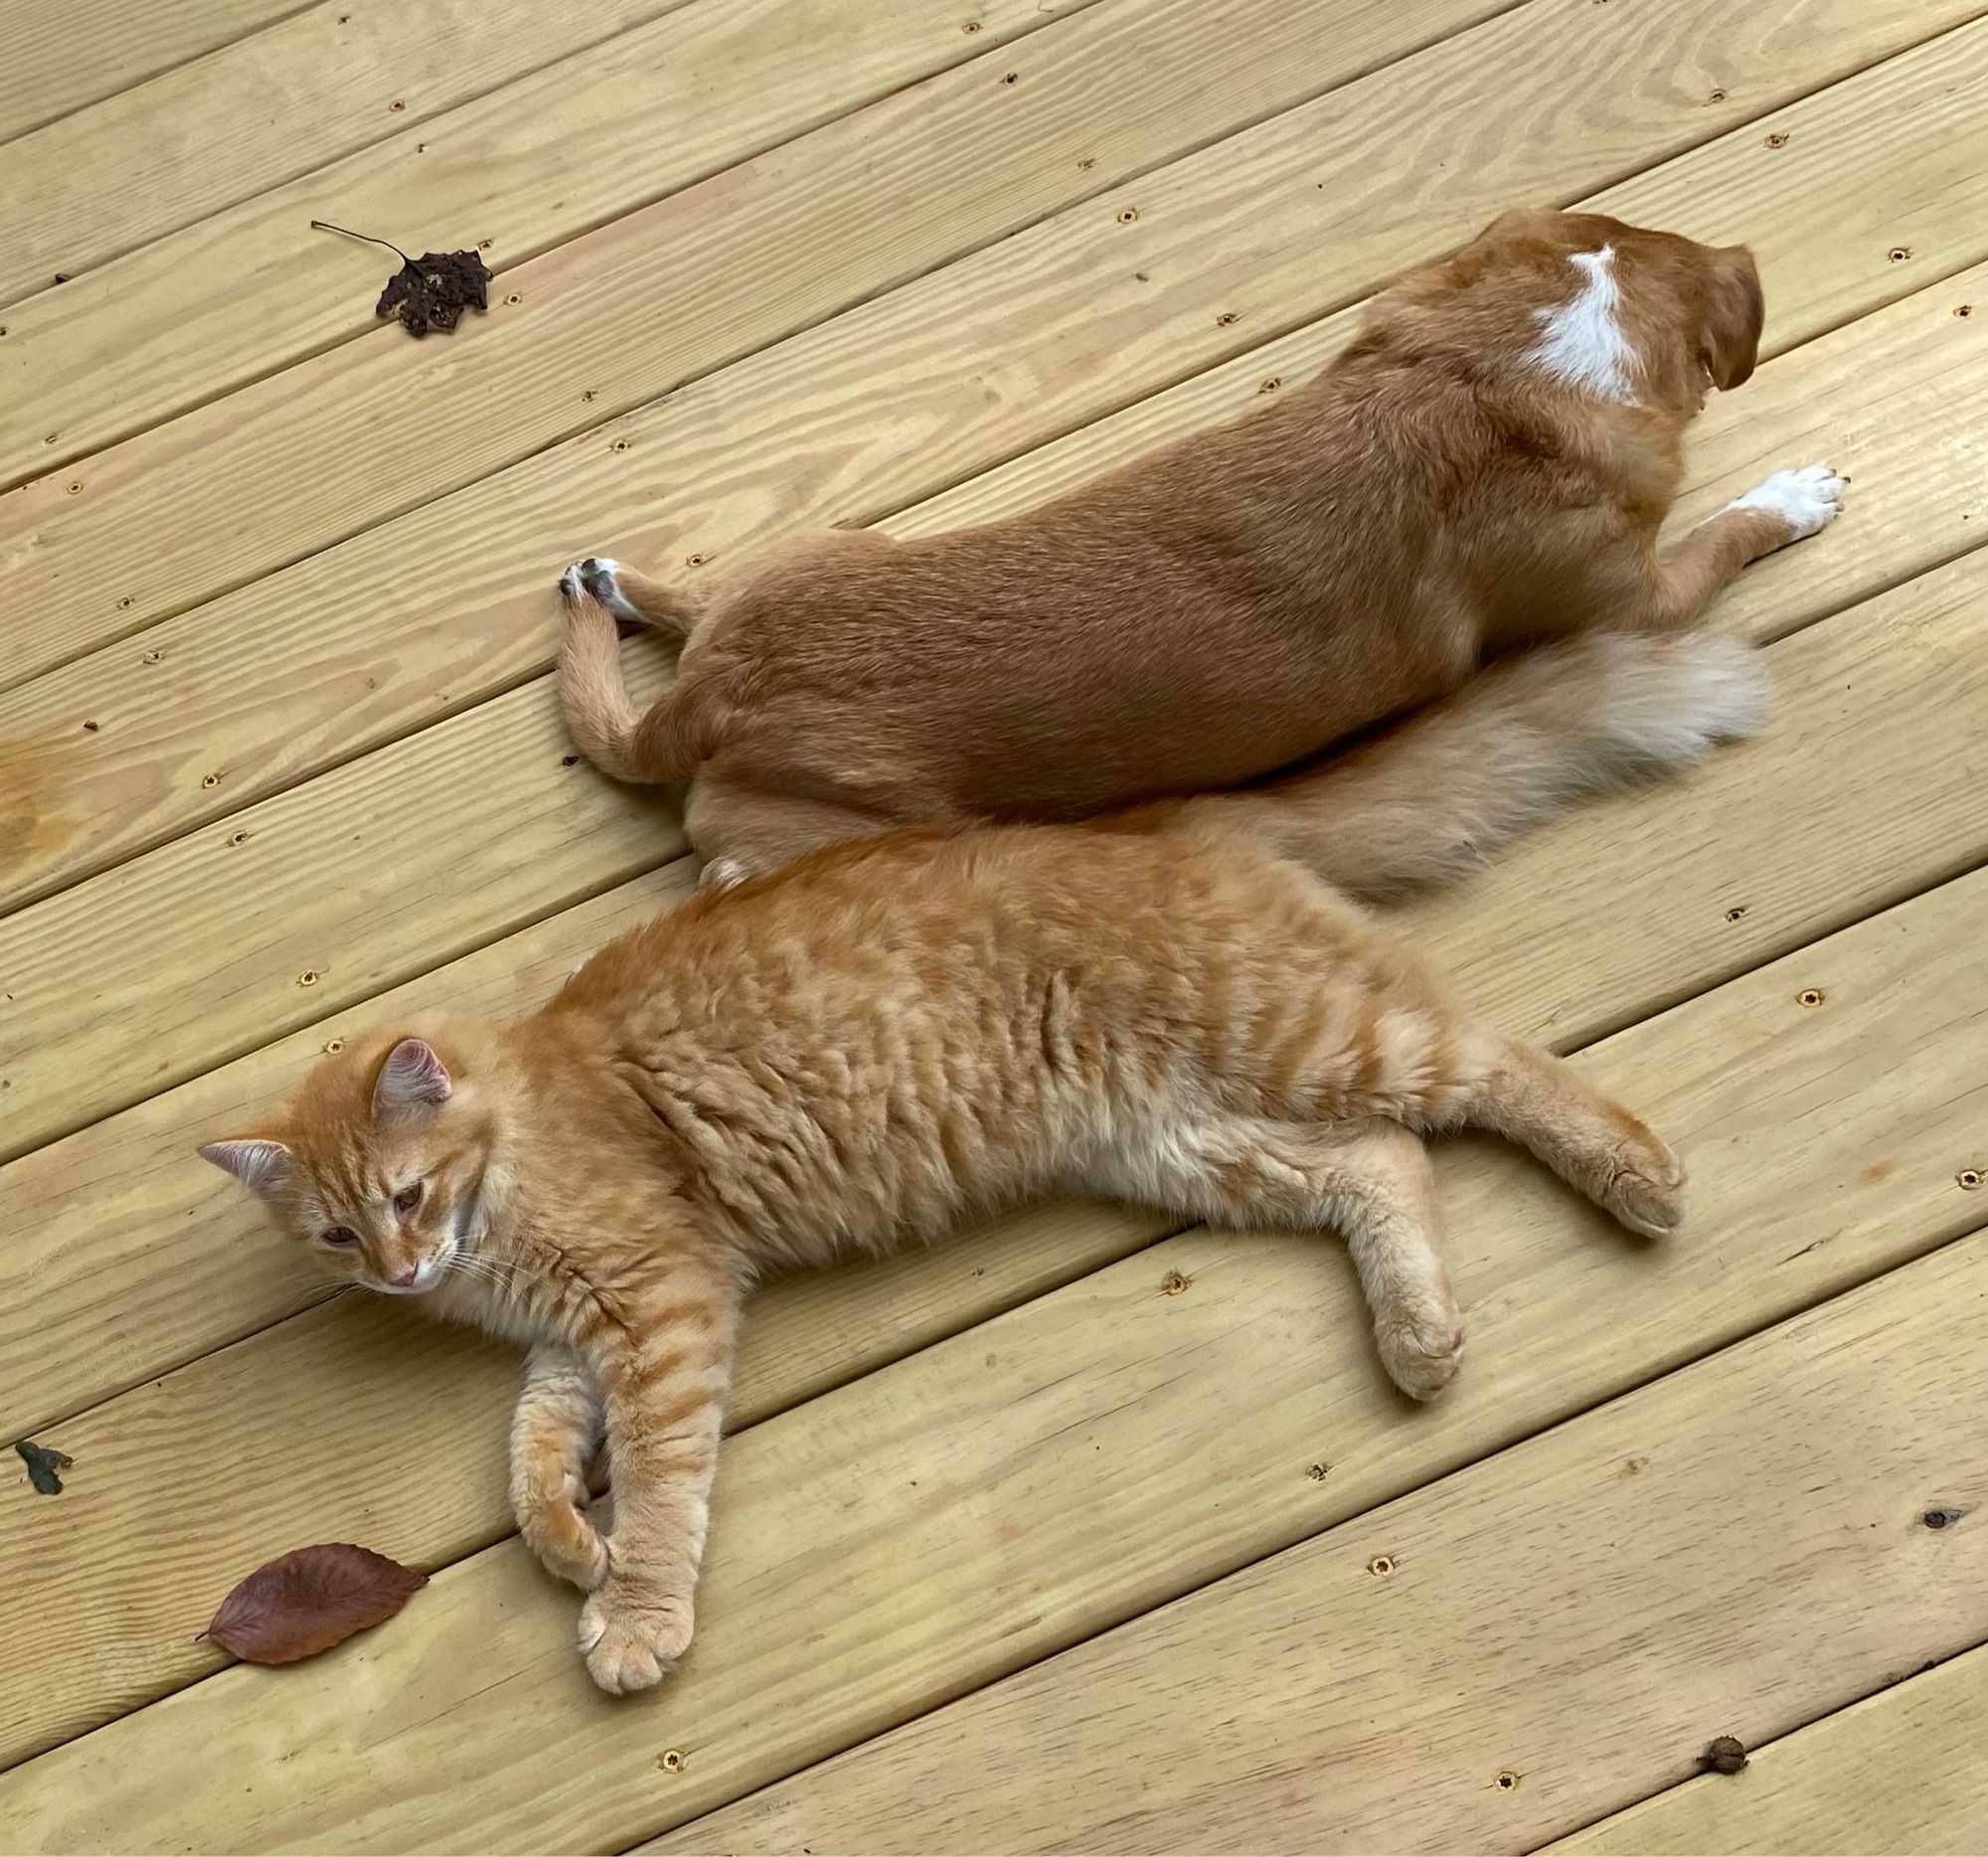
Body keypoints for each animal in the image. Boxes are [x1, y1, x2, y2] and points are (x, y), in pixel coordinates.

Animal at [198, 632, 1757, 1694]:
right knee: (1385, 1162)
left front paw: (633, 1604)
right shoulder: (580, 1340)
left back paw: (1632, 1173)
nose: (400, 1273)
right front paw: (569, 1544)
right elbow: (525, 1461)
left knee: (1495, 1062)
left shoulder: (660, 1306)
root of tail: (1166, 821)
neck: (521, 1156)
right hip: (1191, 1139)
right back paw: (1418, 1335)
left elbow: (658, 1482)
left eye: (404, 1198)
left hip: (1306, 1039)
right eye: (337, 1237)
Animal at [553, 204, 1837, 887]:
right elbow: (1725, 532)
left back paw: (611, 586)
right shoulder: (1636, 598)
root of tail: (710, 701)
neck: (1502, 377)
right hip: (840, 832)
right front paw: (1793, 493)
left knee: (698, 602)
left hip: (814, 551)